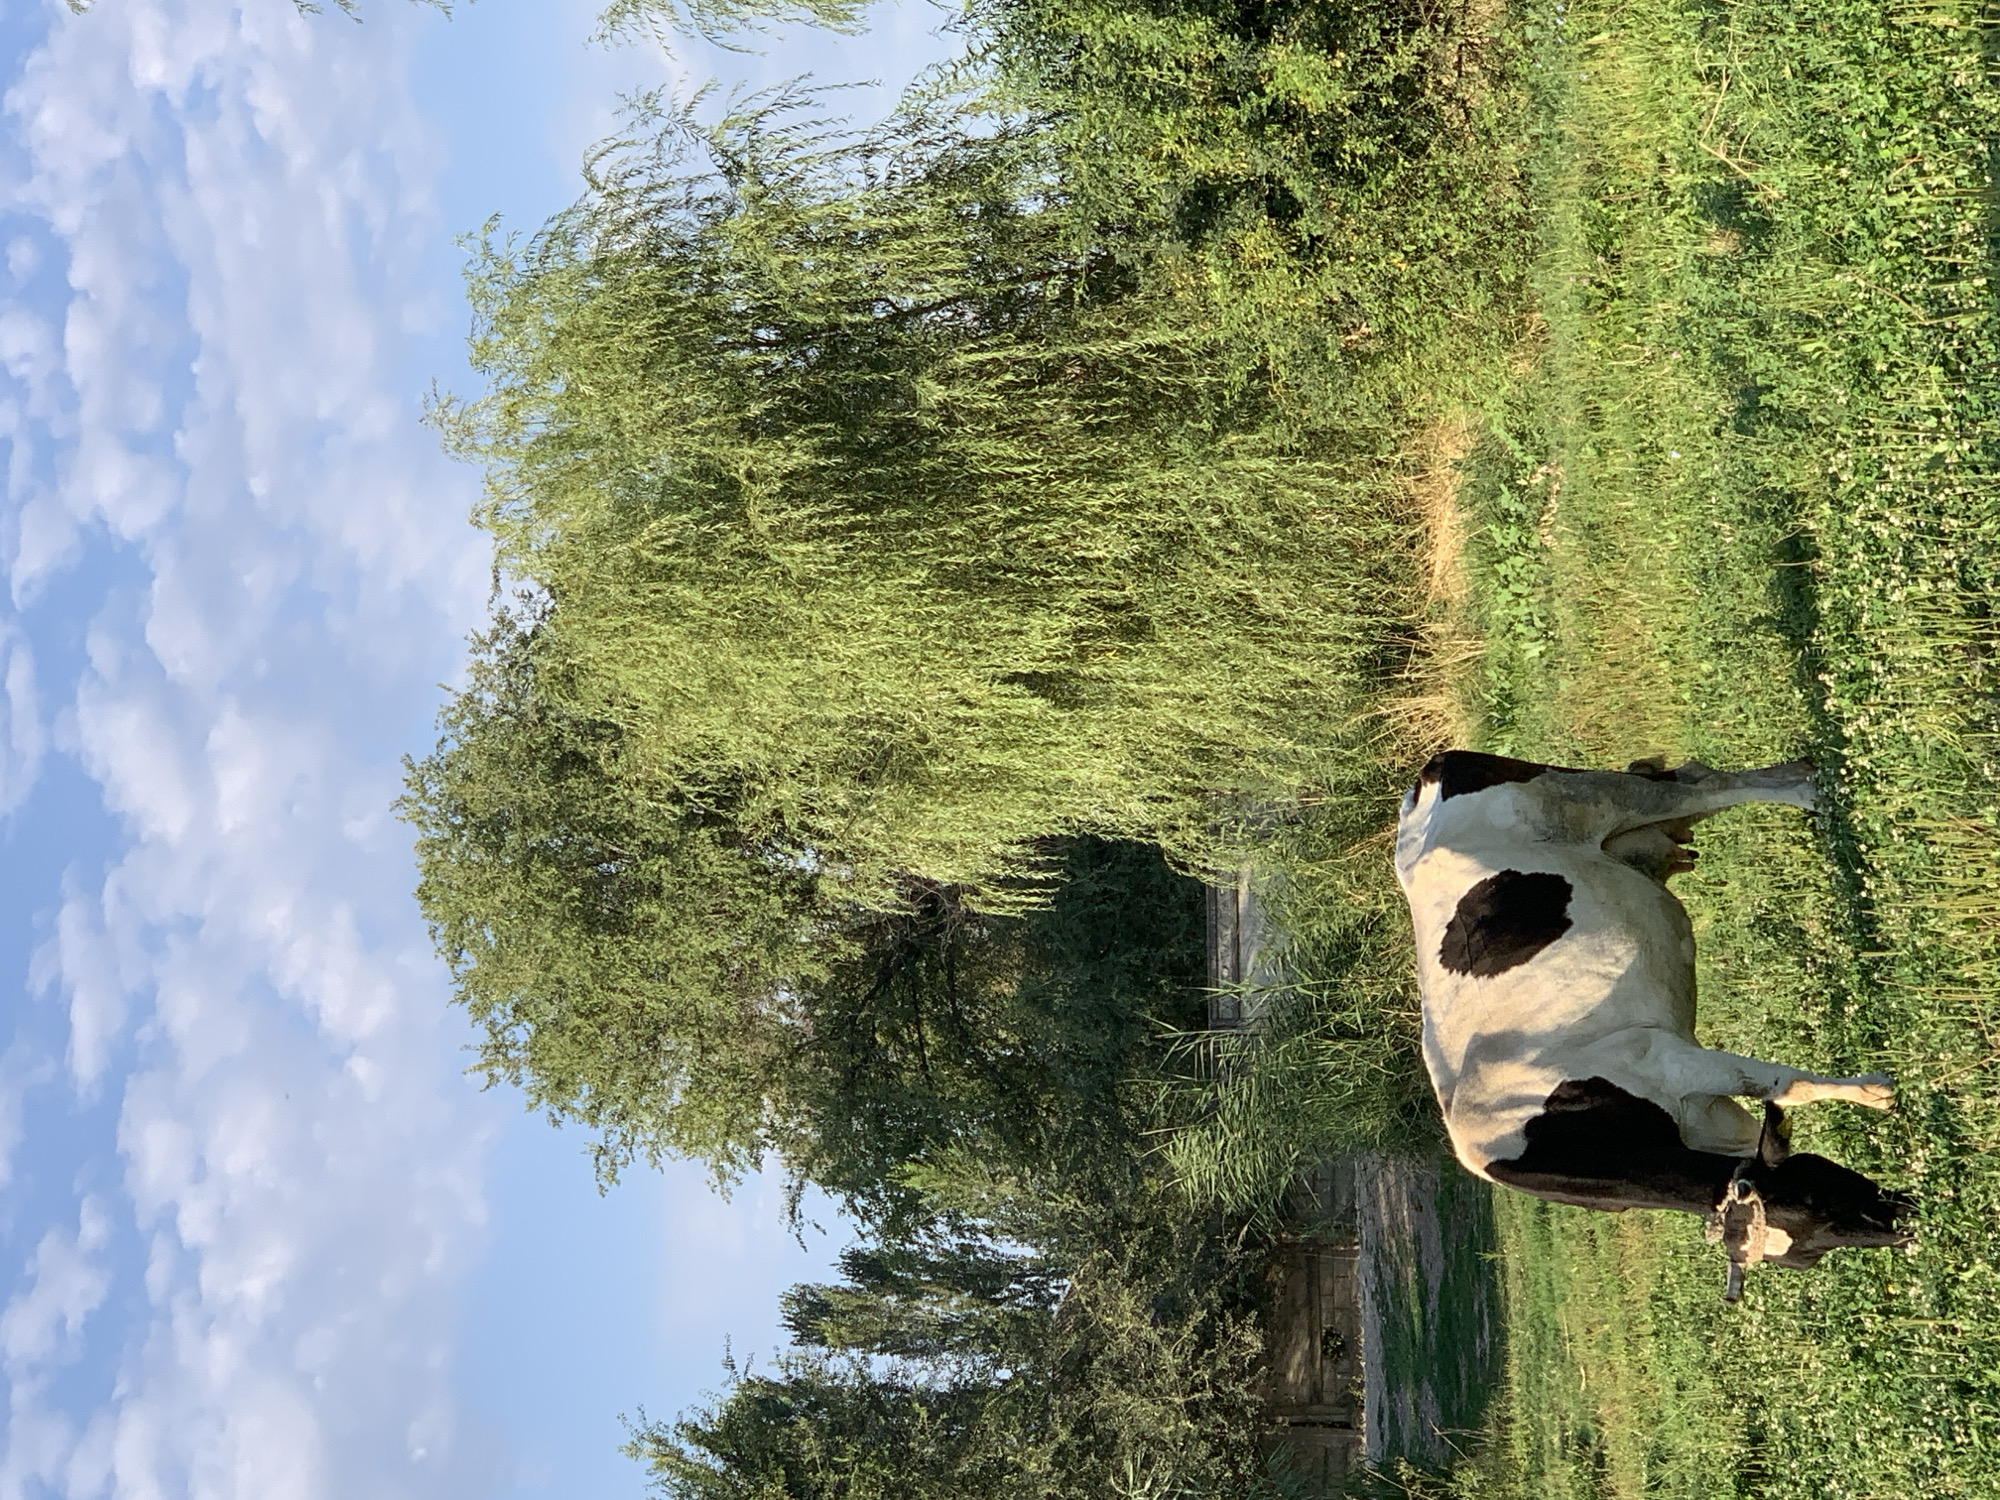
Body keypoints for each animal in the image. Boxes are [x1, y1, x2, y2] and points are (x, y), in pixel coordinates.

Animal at [1395, 749, 1911, 1300]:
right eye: (1811, 1231)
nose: (1904, 1221)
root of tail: (1424, 780)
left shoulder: (1662, 1058)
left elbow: (1781, 1084)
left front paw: (1875, 1091)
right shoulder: (1707, 1115)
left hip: (1593, 796)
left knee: (1701, 786)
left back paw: (1810, 790)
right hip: (1625, 834)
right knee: (1695, 787)